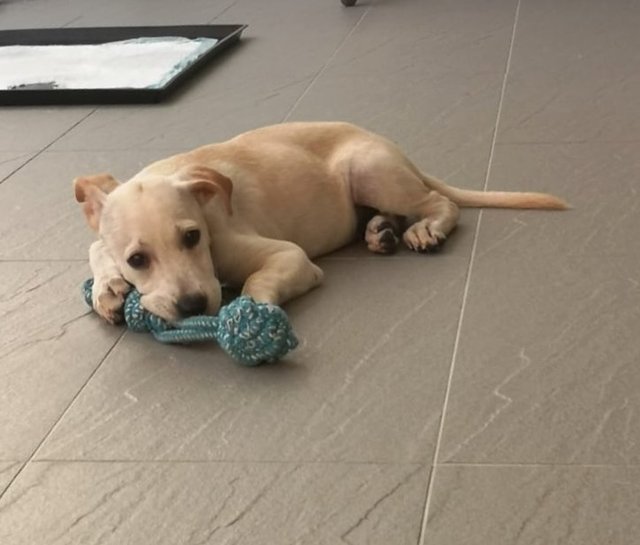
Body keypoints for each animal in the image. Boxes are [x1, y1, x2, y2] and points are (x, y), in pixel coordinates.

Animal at [75, 121, 564, 320]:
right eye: (138, 260)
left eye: (192, 237)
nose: (194, 307)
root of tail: (394, 148)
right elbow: (95, 245)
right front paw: (108, 288)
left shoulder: (287, 256)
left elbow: (259, 280)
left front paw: (254, 311)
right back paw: (381, 231)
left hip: (367, 170)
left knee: (440, 203)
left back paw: (424, 228)